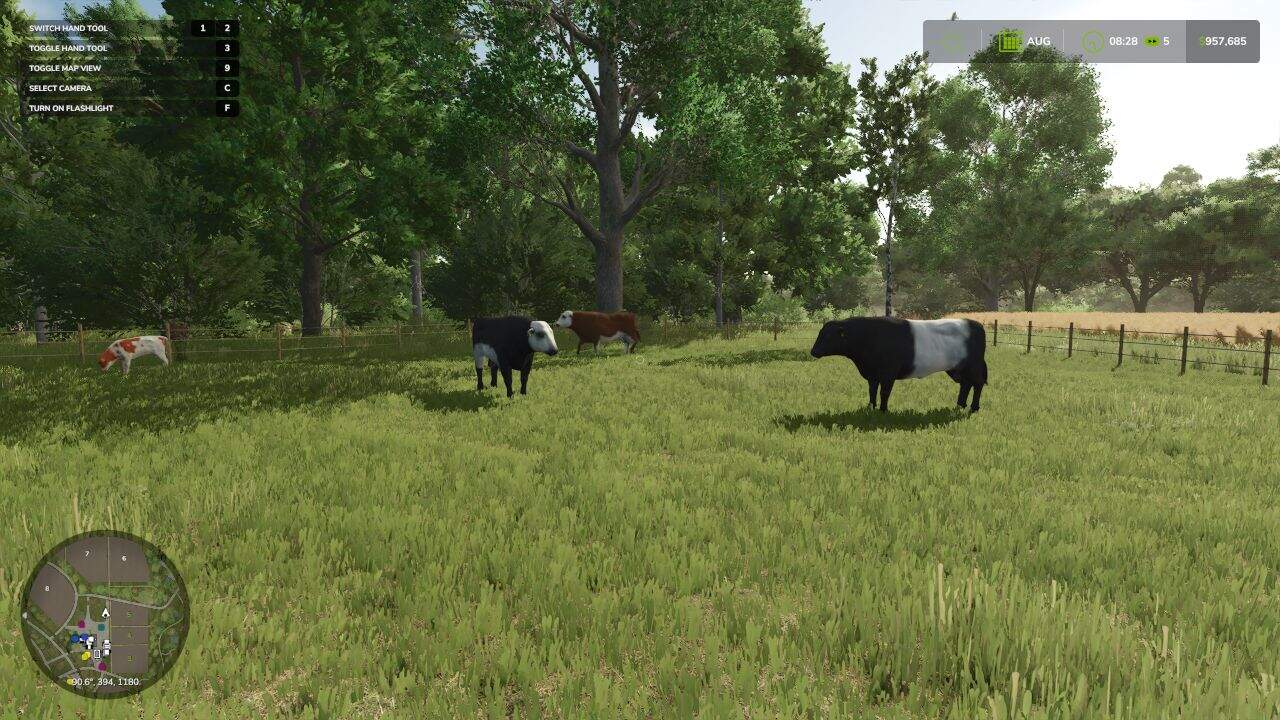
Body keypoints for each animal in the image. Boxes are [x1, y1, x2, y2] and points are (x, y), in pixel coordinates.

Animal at [809, 317, 987, 413]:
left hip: (973, 367)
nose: (813, 351)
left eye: (828, 336)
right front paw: (871, 408)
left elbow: (884, 392)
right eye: (820, 333)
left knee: (977, 384)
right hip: (957, 369)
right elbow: (872, 392)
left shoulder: (888, 374)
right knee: (966, 385)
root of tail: (976, 324)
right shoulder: (872, 375)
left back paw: (974, 407)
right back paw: (960, 405)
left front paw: (883, 410)